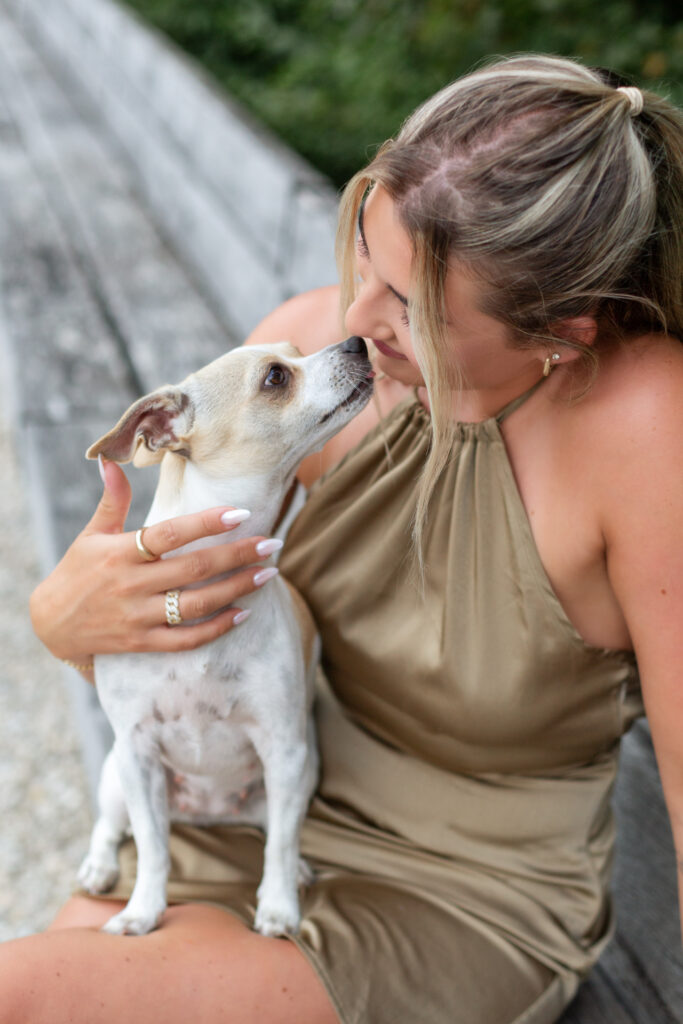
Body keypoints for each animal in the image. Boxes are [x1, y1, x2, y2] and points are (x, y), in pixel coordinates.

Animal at [78, 333, 374, 937]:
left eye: (296, 350)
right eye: (276, 377)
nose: (356, 340)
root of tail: (211, 815)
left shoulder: (285, 750)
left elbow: (279, 845)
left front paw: (279, 907)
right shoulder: (138, 755)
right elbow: (154, 849)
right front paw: (143, 912)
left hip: (298, 775)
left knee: (276, 832)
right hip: (118, 775)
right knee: (112, 826)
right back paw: (99, 866)